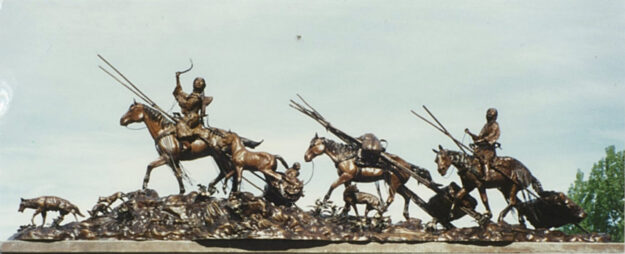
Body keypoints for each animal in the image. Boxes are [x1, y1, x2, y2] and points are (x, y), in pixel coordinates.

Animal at [119, 101, 258, 194]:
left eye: (132, 110)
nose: (122, 120)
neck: (164, 132)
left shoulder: (167, 157)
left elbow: (151, 166)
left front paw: (145, 186)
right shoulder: (172, 160)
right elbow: (177, 174)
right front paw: (181, 190)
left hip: (220, 155)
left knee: (229, 171)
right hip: (216, 156)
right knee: (225, 172)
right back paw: (213, 187)